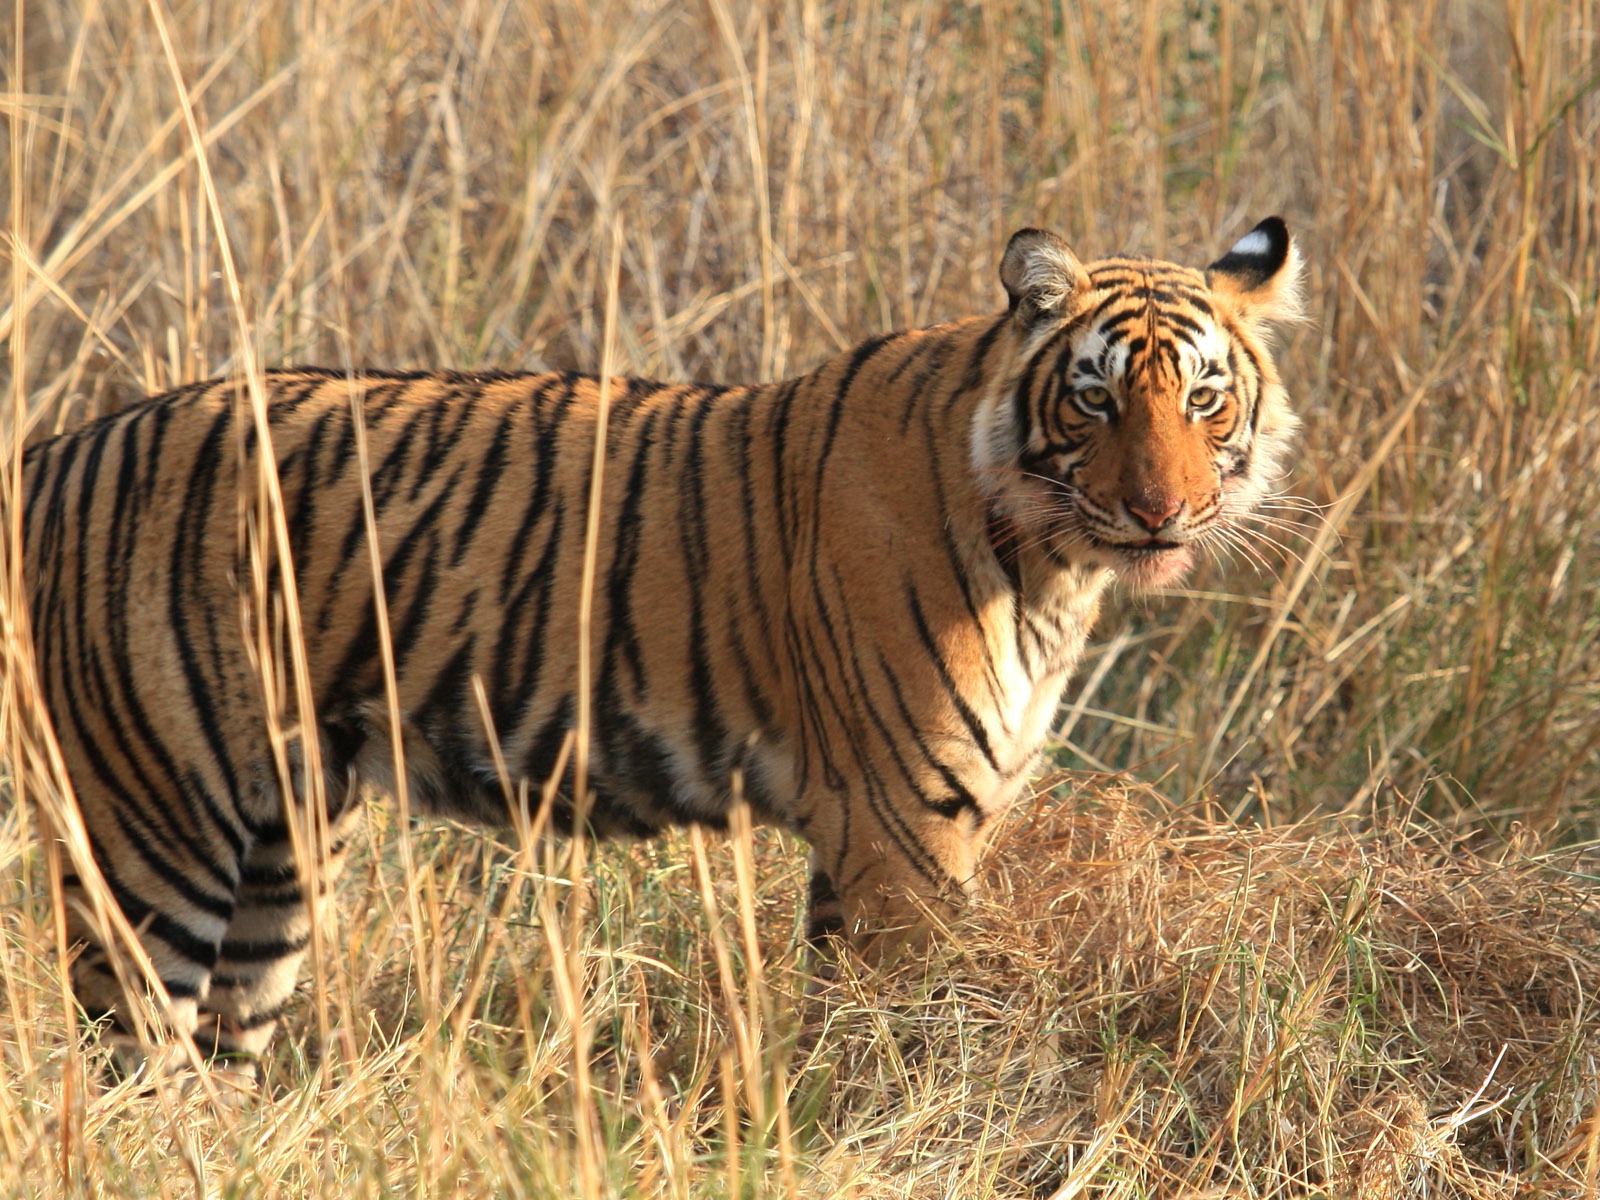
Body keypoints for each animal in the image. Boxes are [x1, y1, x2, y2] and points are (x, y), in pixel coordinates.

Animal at [15, 216, 1299, 1068]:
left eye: (1202, 399)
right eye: (1095, 397)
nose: (1161, 512)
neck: (1048, 567)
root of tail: (61, 450)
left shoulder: (868, 839)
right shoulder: (906, 834)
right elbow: (918, 1030)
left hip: (277, 845)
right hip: (152, 829)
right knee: (129, 1053)